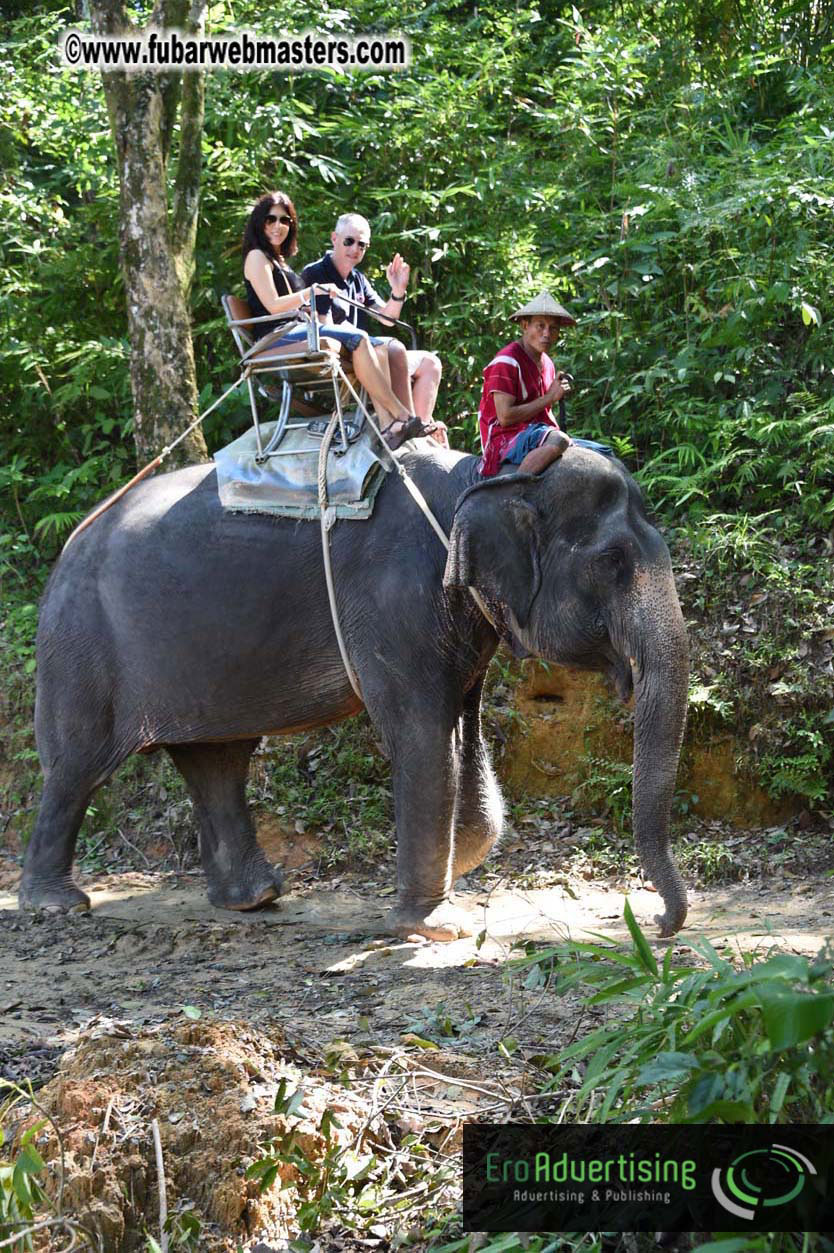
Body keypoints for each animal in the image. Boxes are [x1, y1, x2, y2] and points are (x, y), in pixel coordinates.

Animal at [20, 442, 690, 939]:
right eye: (611, 561)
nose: (656, 922)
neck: (482, 477)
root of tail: (71, 540)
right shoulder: (394, 601)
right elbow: (423, 738)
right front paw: (434, 924)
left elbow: (461, 736)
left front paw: (458, 865)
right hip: (81, 646)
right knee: (79, 766)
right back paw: (56, 905)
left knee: (218, 762)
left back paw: (255, 899)